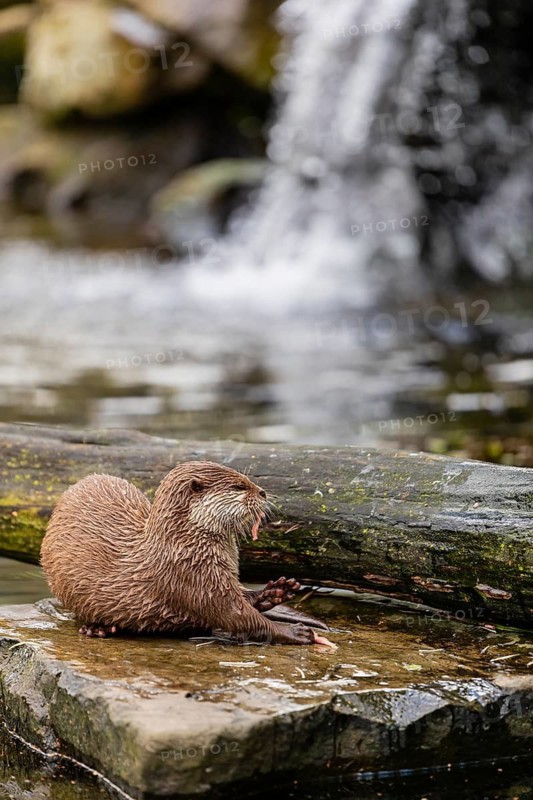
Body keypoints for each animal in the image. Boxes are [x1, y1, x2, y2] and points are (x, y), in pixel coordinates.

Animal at [41, 461, 333, 646]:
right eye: (239, 487)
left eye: (247, 479)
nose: (262, 492)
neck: (185, 545)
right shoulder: (193, 578)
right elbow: (239, 617)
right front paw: (293, 632)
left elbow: (243, 601)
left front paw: (274, 591)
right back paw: (99, 628)